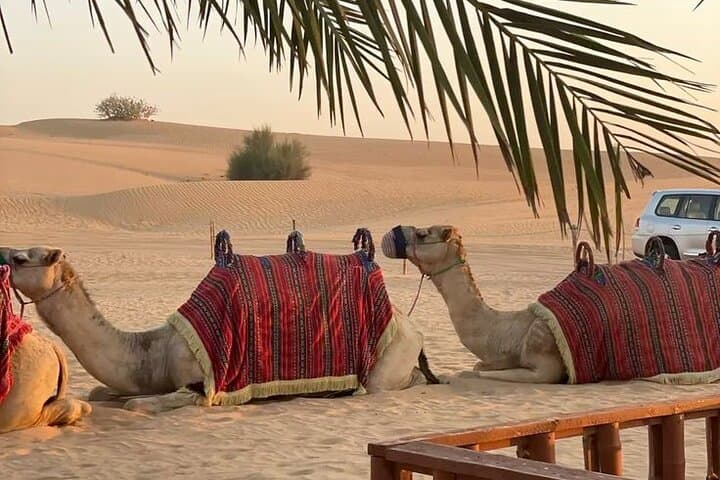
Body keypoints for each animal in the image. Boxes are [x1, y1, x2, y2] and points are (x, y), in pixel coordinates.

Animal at [4, 245, 440, 414]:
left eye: (24, 257)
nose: (4, 255)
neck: (155, 349)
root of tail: (412, 327)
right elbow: (102, 392)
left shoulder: (201, 384)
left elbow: (136, 404)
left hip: (386, 364)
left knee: (399, 382)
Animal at [381, 225, 567, 384]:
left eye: (422, 234)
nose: (390, 234)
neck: (497, 331)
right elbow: (479, 366)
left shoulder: (543, 362)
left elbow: (477, 369)